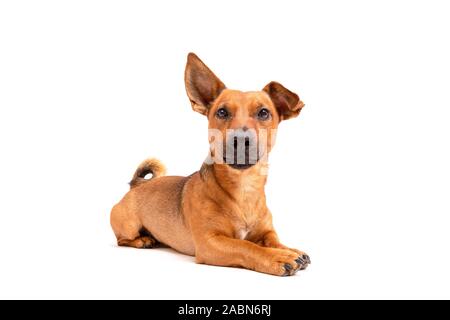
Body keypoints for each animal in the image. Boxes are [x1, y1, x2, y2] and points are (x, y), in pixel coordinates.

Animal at [112, 52, 310, 276]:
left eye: (264, 113)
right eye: (222, 112)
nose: (240, 139)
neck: (244, 188)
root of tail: (138, 185)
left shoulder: (266, 233)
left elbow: (274, 241)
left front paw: (289, 250)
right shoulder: (211, 243)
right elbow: (246, 246)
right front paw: (277, 257)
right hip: (128, 225)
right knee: (122, 240)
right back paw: (143, 240)